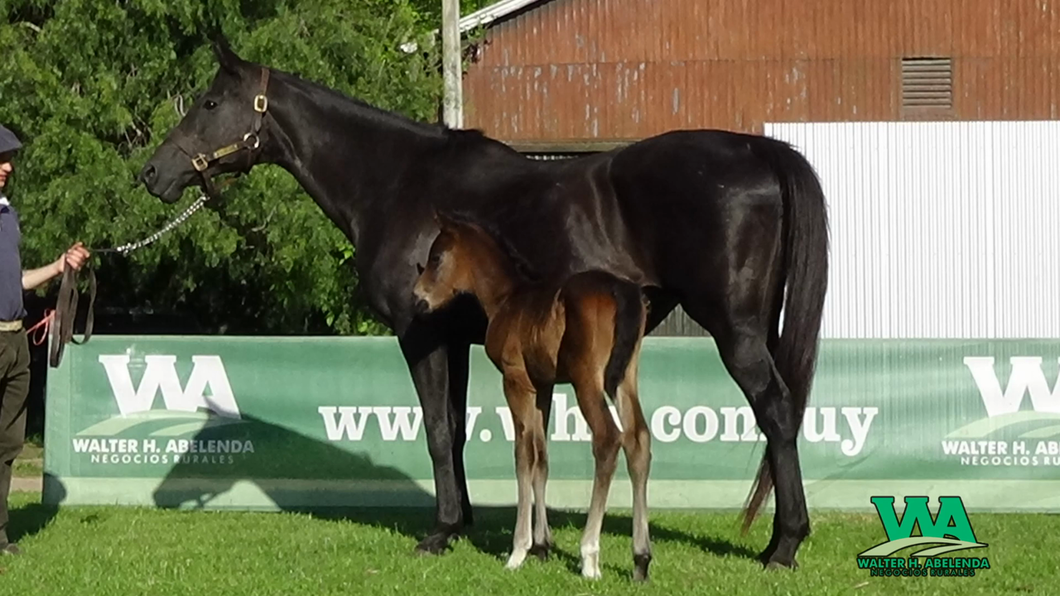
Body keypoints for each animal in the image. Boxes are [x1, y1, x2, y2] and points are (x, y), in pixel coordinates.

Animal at [413, 211, 652, 576]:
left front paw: (519, 550)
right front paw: (542, 546)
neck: (507, 300)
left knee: (609, 439)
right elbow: (541, 456)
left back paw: (589, 556)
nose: (417, 299)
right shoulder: (544, 386)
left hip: (587, 380)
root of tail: (619, 288)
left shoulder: (516, 381)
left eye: (437, 258)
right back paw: (641, 558)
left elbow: (523, 455)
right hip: (625, 377)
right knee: (638, 440)